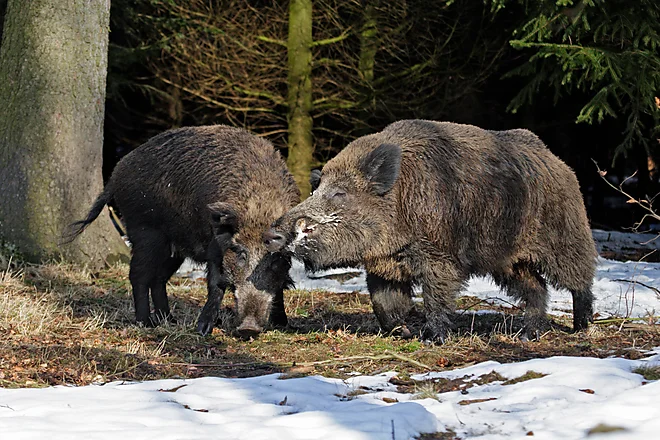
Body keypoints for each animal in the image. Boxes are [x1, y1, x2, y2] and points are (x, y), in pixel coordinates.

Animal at [65, 125, 300, 338]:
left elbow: (279, 286)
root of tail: (115, 175)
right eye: (241, 253)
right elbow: (216, 283)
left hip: (174, 249)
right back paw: (145, 323)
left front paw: (282, 324)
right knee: (139, 275)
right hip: (144, 233)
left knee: (158, 279)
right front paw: (203, 331)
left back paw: (168, 320)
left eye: (275, 258)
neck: (260, 207)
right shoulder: (215, 248)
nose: (248, 328)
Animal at [264, 120, 596, 341]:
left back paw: (581, 328)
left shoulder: (440, 258)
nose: (272, 235)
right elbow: (384, 302)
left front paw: (432, 338)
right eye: (316, 189)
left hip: (566, 238)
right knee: (536, 287)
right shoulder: (383, 265)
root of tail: (559, 163)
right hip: (508, 262)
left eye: (340, 193)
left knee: (579, 280)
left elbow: (435, 298)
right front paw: (402, 332)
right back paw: (528, 335)